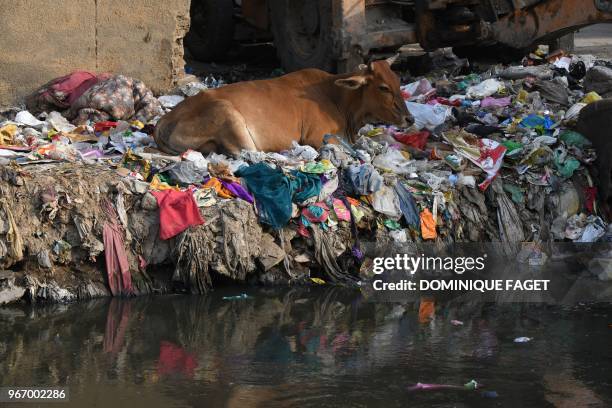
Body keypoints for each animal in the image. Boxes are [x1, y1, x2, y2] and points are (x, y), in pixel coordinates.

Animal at [153, 55, 412, 155]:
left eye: (398, 81)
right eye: (383, 87)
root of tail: (164, 120)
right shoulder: (318, 137)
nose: (410, 119)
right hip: (228, 115)